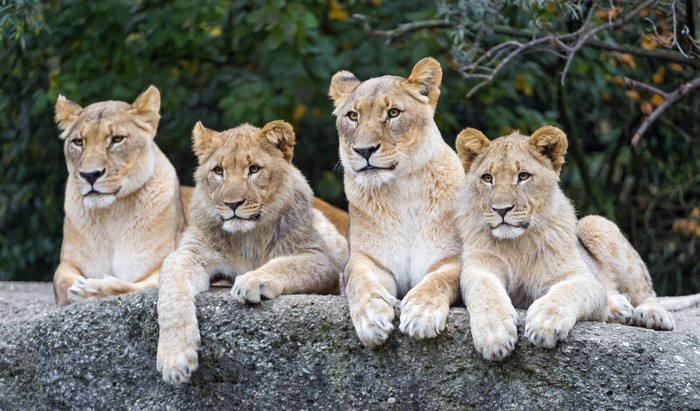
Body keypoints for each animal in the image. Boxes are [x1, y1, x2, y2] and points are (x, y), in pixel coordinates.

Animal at [53, 86, 190, 306]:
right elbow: (63, 281)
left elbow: (136, 286)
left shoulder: (166, 262)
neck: (113, 212)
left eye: (117, 139)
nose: (90, 175)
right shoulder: (67, 262)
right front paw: (80, 288)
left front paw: (91, 288)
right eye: (78, 142)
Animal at [156, 120, 348, 384]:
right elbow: (171, 292)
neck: (248, 237)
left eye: (254, 169)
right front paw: (175, 358)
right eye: (218, 171)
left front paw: (252, 282)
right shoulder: (191, 252)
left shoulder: (320, 259)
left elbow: (285, 264)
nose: (232, 204)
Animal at [329, 57, 464, 347]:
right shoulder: (369, 259)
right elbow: (359, 279)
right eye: (353, 116)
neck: (402, 191)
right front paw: (371, 316)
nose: (364, 150)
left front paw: (422, 314)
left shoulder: (452, 258)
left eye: (393, 113)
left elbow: (440, 279)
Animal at [454, 126, 674, 361]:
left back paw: (652, 315)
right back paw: (617, 309)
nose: (501, 209)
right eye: (487, 178)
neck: (518, 244)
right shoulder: (479, 267)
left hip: (595, 224)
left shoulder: (581, 277)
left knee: (646, 291)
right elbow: (485, 292)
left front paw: (545, 323)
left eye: (523, 176)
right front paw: (494, 334)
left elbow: (566, 292)